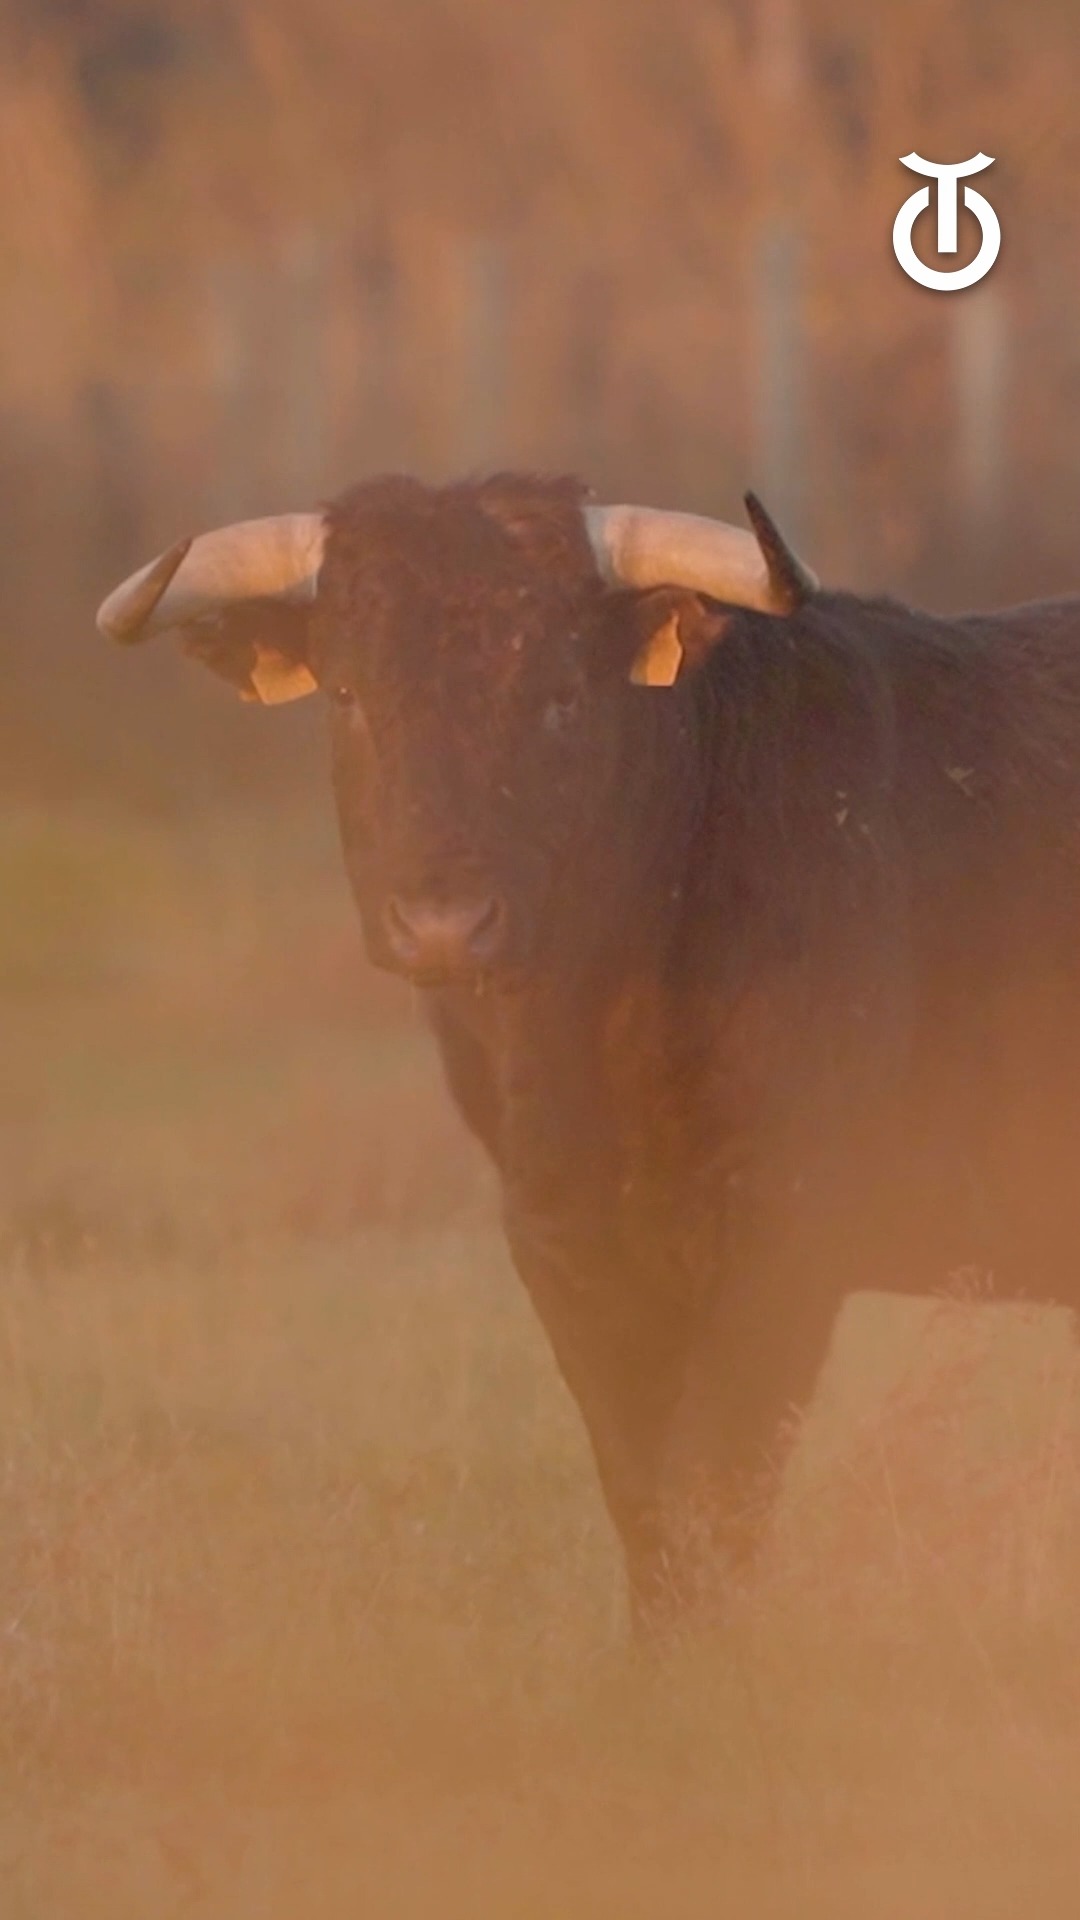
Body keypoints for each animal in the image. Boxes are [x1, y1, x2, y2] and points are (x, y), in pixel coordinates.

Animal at [97, 471, 1080, 1630]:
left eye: (562, 696)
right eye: (348, 695)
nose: (443, 923)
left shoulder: (788, 1231)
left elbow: (712, 1487)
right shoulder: (561, 1239)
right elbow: (643, 1492)